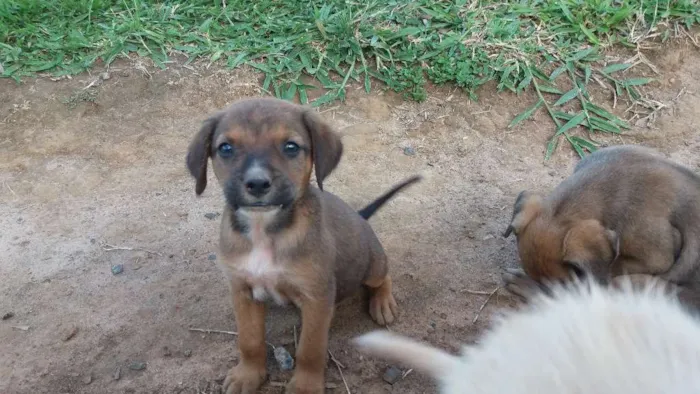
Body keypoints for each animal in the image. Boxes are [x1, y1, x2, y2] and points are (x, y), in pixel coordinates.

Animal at [185, 96, 422, 394]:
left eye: (291, 147)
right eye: (226, 148)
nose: (257, 183)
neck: (264, 229)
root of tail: (361, 216)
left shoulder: (317, 297)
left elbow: (310, 349)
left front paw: (305, 386)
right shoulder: (242, 290)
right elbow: (249, 341)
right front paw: (247, 375)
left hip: (373, 265)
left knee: (383, 277)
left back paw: (383, 303)